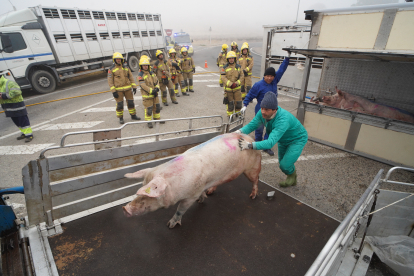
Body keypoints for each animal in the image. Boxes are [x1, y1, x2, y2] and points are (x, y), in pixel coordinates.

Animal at [121, 133, 262, 227]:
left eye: (149, 195)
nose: (125, 209)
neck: (173, 185)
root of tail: (250, 138)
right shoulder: (201, 186)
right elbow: (202, 194)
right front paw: (203, 198)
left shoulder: (191, 196)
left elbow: (180, 210)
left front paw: (170, 225)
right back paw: (211, 191)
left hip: (253, 167)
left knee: (256, 180)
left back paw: (252, 196)